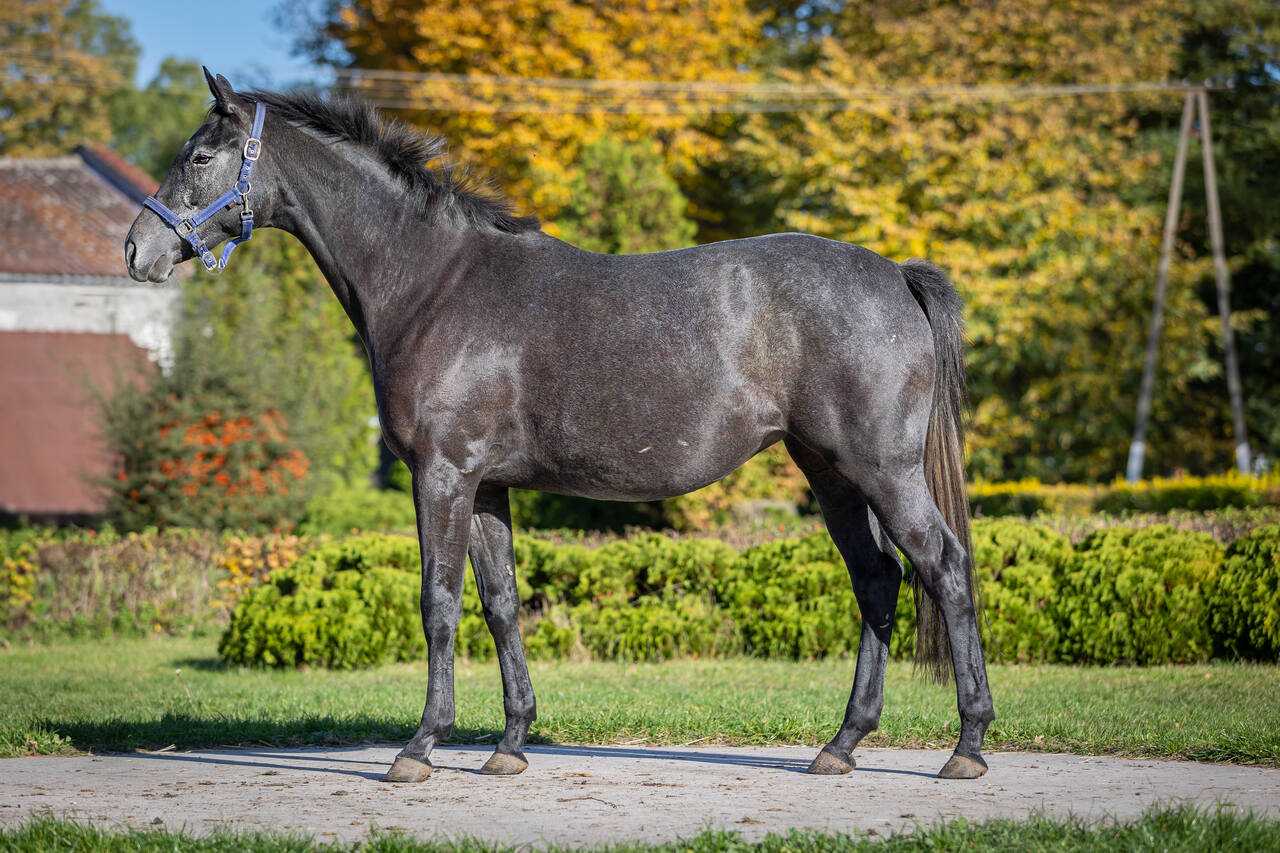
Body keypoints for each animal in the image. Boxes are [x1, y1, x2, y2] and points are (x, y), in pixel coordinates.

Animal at [125, 69, 994, 784]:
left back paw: (968, 744)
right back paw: (842, 744)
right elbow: (501, 603)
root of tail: (896, 274)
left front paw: (420, 746)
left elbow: (438, 602)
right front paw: (510, 743)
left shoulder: (441, 474)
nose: (137, 251)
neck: (433, 281)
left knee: (945, 566)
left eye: (201, 155)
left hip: (881, 470)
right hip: (831, 472)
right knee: (878, 579)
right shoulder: (485, 487)